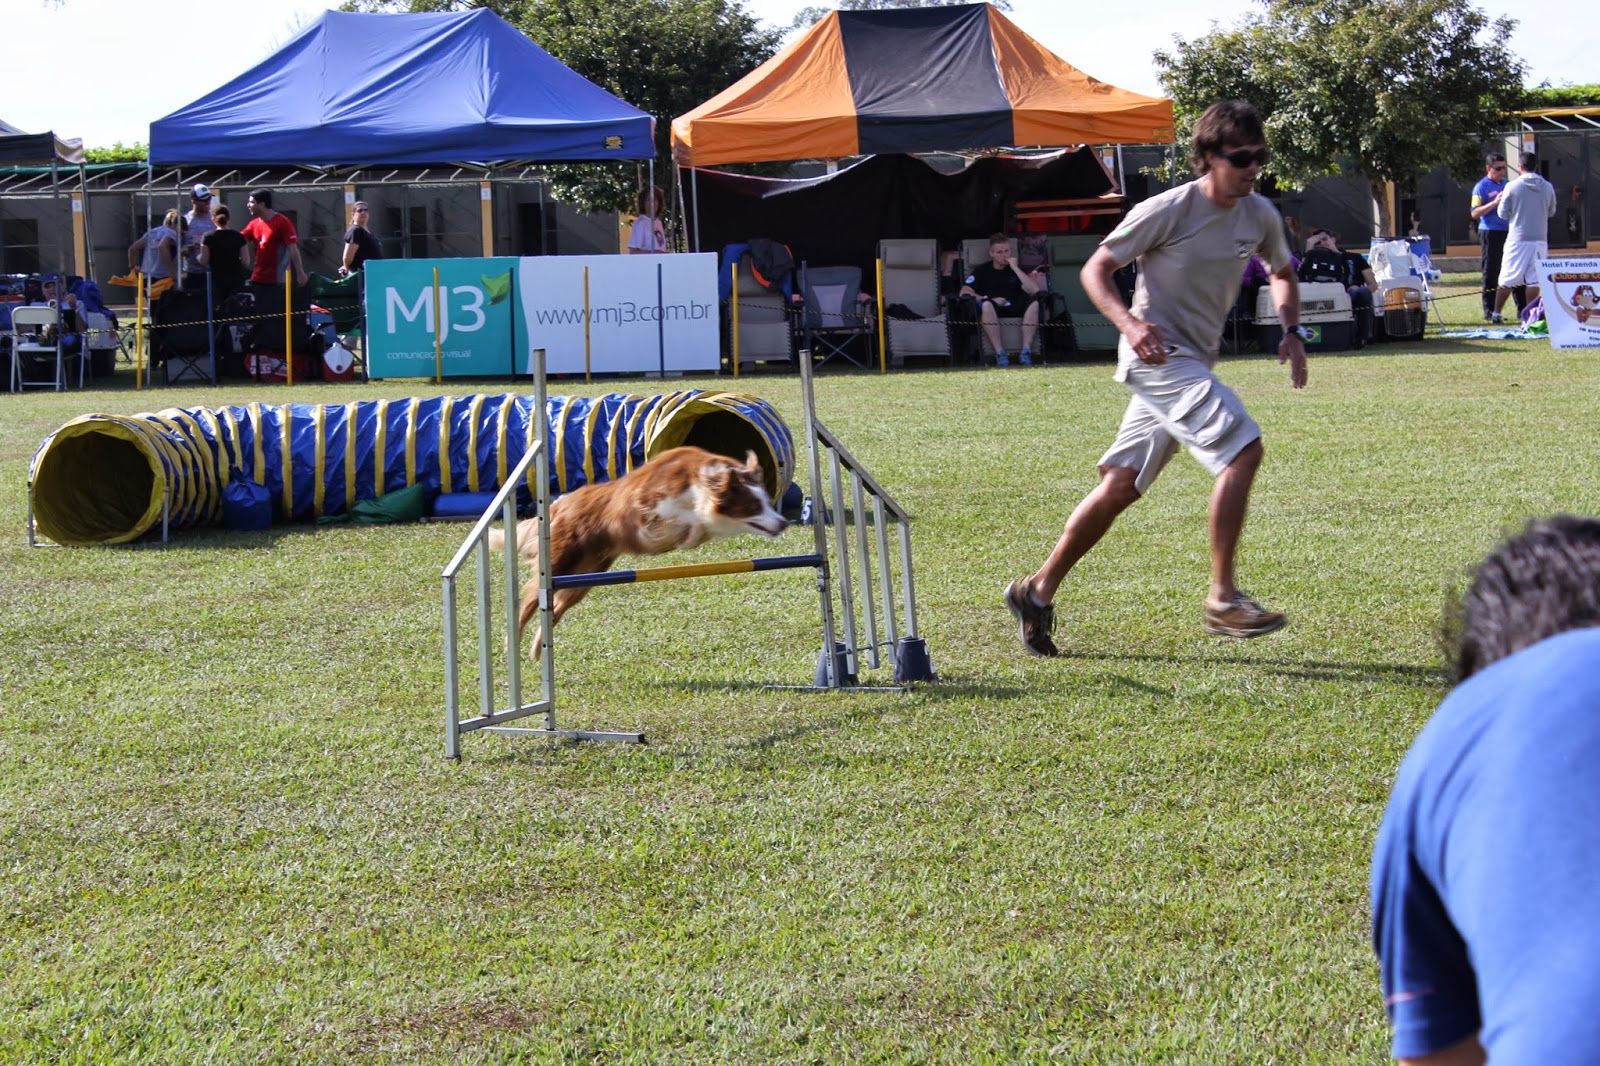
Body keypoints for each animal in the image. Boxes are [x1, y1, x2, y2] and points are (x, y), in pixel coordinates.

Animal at [486, 444, 787, 653]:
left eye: (767, 502)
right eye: (753, 506)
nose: (783, 522)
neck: (698, 481)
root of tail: (559, 504)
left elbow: (698, 524)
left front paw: (693, 532)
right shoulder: (647, 505)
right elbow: (685, 518)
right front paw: (688, 530)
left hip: (585, 578)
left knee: (556, 610)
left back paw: (538, 648)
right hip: (559, 565)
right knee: (528, 604)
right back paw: (513, 642)